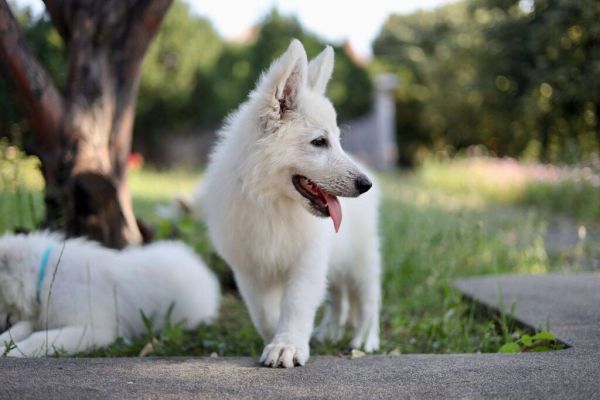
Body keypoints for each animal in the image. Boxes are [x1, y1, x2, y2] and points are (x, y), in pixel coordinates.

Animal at [0, 231, 220, 356]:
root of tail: (199, 265)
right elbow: (19, 331)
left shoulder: (93, 329)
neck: (42, 276)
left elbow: (38, 339)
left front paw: (8, 352)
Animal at [202, 39, 380, 368]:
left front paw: (288, 345)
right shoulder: (249, 270)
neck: (272, 202)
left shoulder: (307, 261)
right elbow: (265, 314)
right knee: (338, 294)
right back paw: (331, 330)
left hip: (362, 255)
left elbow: (296, 305)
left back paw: (366, 338)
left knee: (370, 296)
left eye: (337, 140)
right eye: (319, 142)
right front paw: (277, 340)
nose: (365, 184)